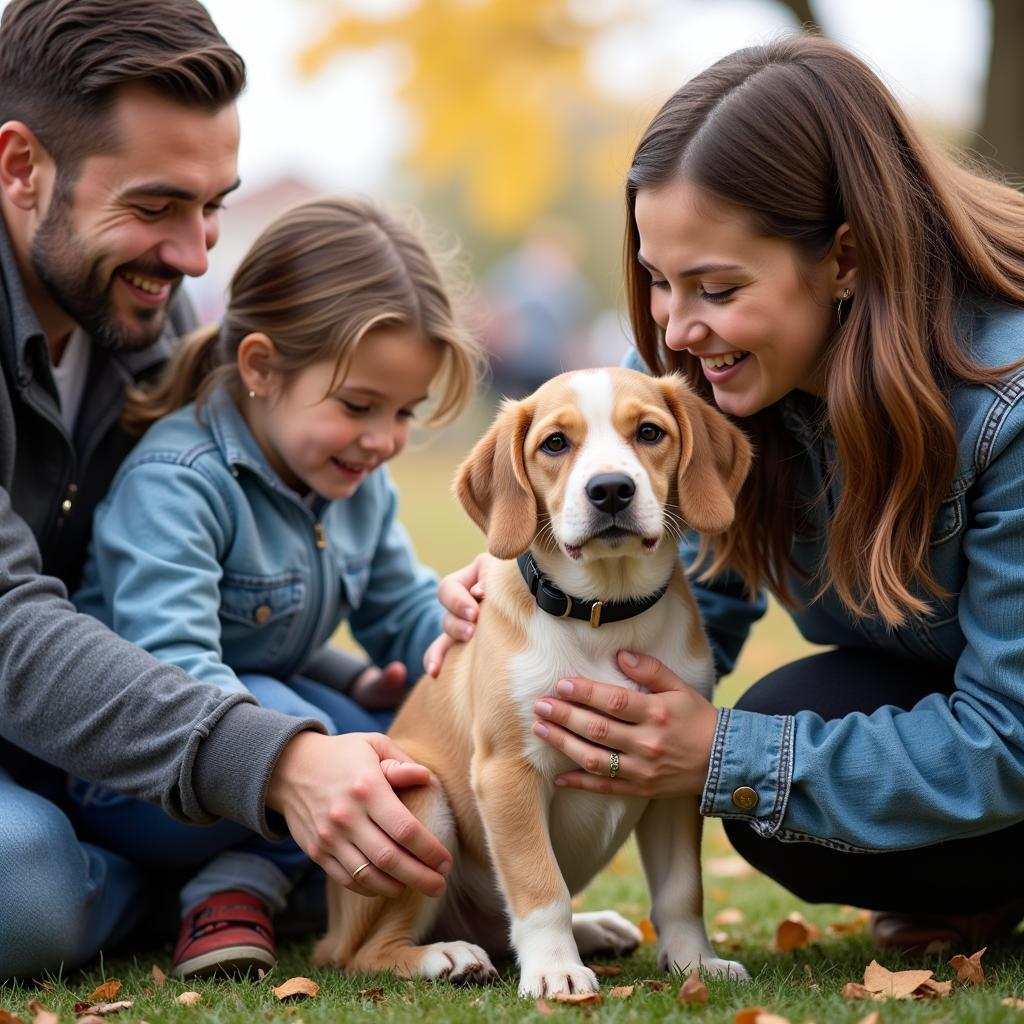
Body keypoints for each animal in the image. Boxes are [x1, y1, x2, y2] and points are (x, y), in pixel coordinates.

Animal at [315, 366, 757, 991]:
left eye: (649, 432)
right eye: (554, 443)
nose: (611, 490)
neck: (602, 612)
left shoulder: (673, 777)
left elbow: (680, 891)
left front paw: (696, 962)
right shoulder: (507, 771)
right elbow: (541, 887)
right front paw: (555, 972)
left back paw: (595, 930)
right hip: (420, 799)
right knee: (362, 953)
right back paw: (443, 956)